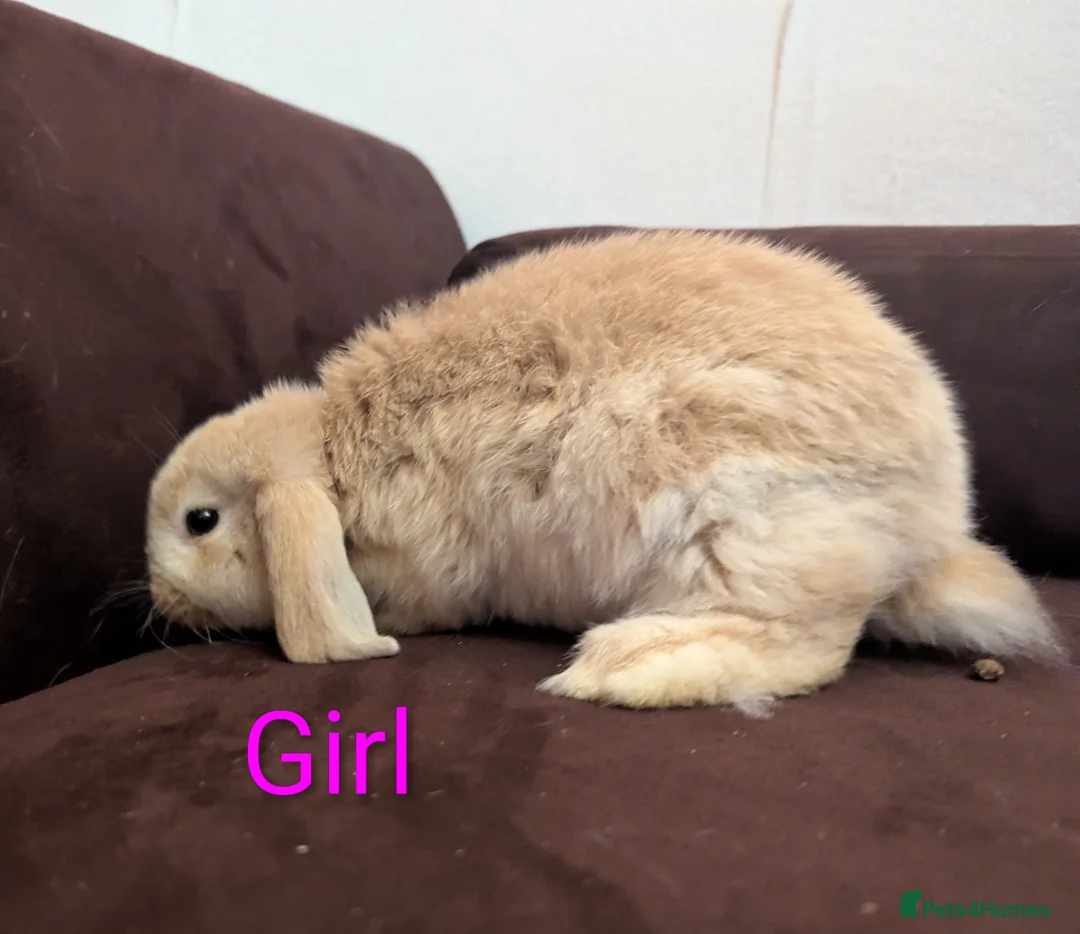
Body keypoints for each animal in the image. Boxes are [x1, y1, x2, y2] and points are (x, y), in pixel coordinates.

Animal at [144, 229, 1065, 712]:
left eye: (200, 521)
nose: (159, 601)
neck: (335, 462)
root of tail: (932, 529)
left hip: (741, 531)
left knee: (805, 643)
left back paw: (621, 666)